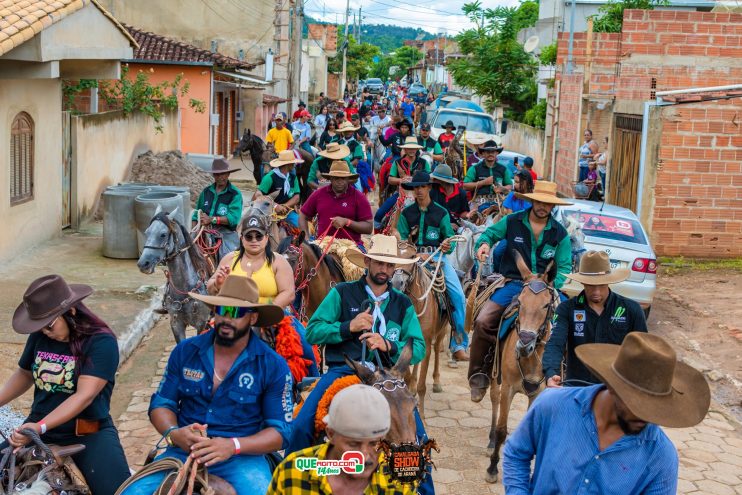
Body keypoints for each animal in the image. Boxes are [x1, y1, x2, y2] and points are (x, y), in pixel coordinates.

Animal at [392, 242, 450, 420]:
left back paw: (437, 382)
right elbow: (406, 373)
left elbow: (422, 385)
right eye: (394, 255)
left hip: (442, 331)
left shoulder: (427, 342)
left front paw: (422, 416)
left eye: (412, 256)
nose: (396, 283)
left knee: (437, 349)